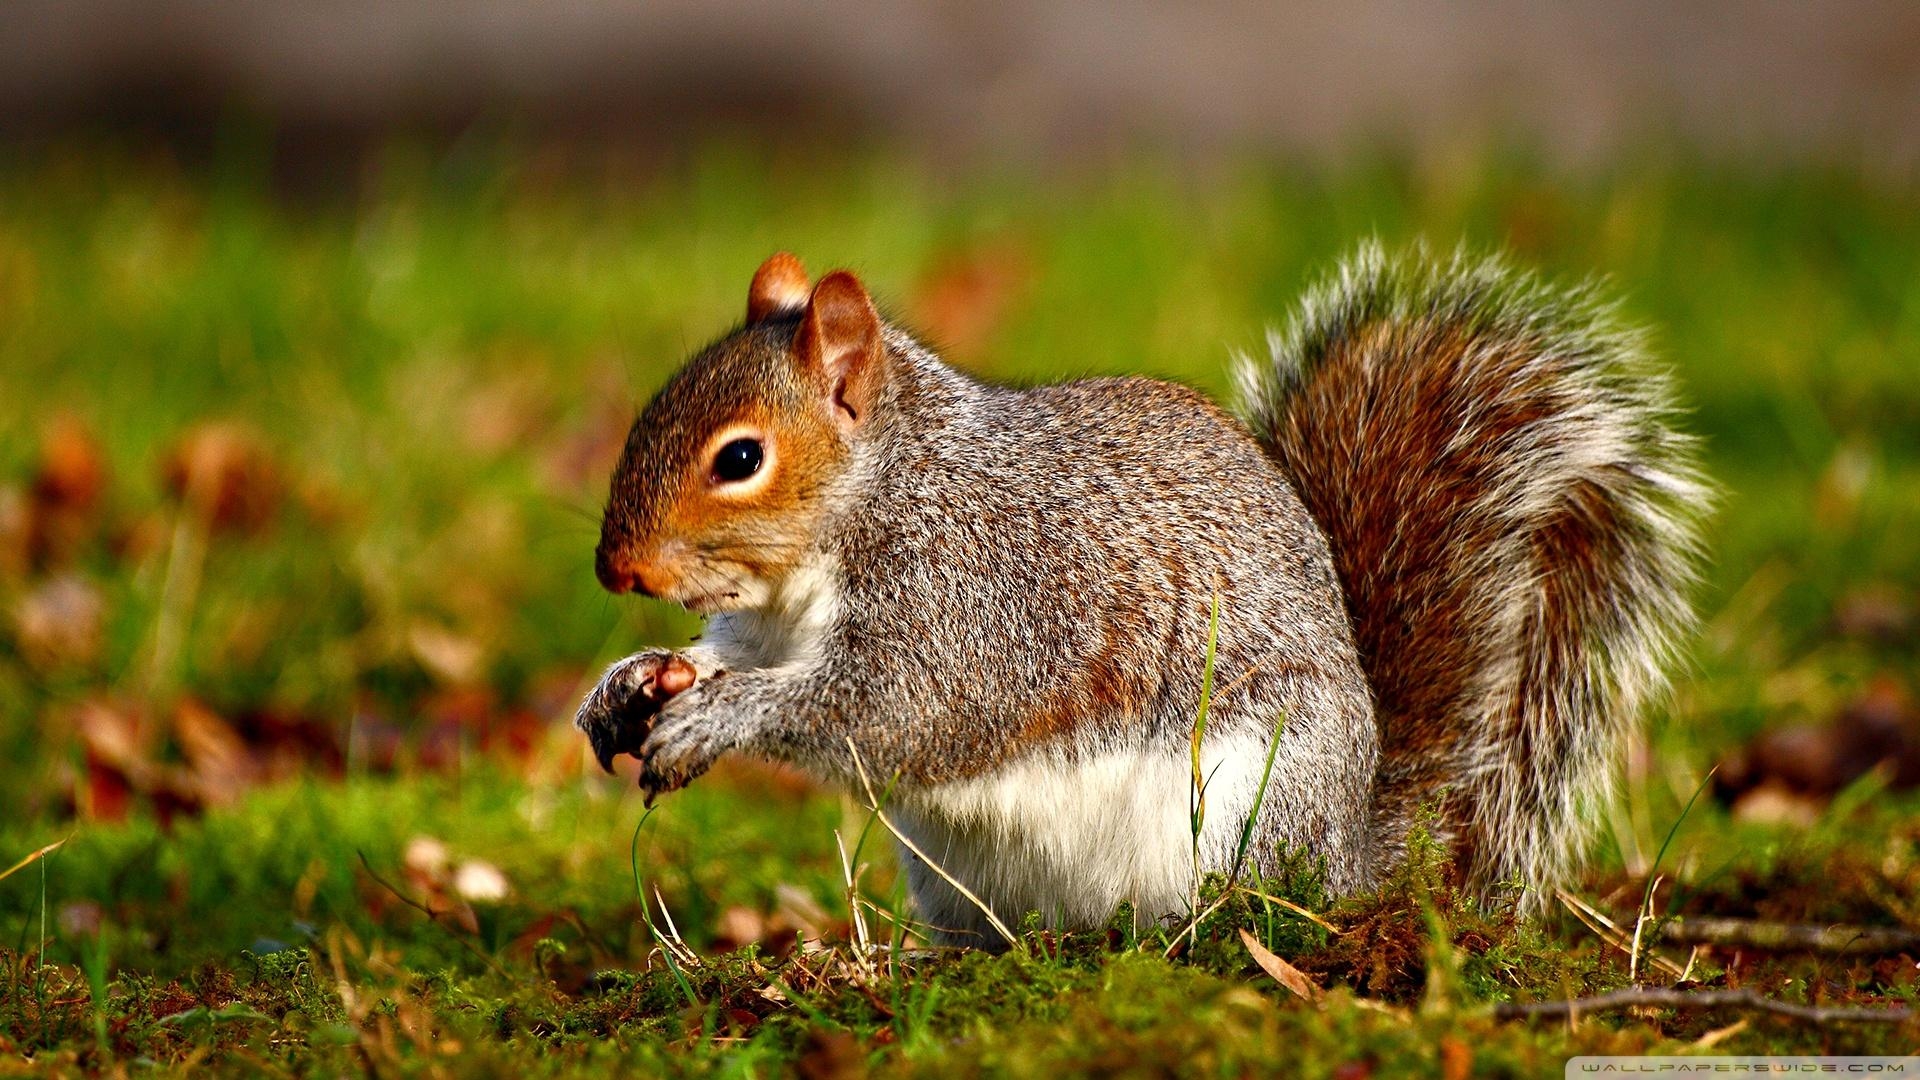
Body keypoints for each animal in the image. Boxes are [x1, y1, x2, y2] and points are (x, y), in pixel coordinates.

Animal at [572, 242, 1712, 941]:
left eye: (740, 458)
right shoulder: (769, 624)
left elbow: (892, 708)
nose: (615, 571)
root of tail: (1351, 857)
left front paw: (716, 720)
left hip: (1243, 807)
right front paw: (631, 681)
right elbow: (733, 658)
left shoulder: (977, 596)